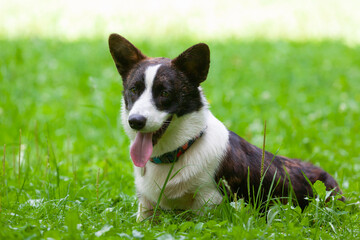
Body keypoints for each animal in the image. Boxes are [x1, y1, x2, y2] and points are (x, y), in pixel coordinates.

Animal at [107, 33, 344, 221]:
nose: (135, 121)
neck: (177, 152)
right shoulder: (146, 206)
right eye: (134, 90)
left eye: (164, 93)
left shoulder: (207, 201)